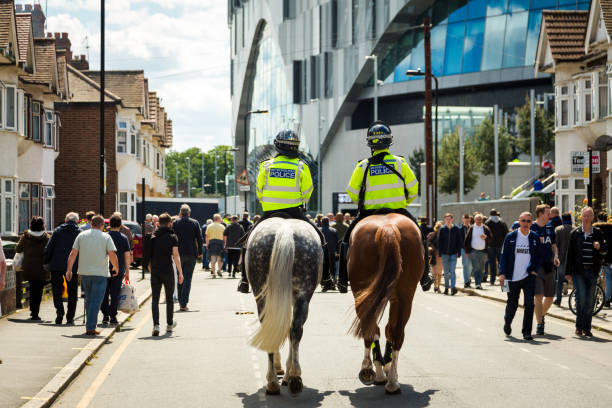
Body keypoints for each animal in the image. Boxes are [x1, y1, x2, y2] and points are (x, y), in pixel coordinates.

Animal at [244, 218, 322, 396]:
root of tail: (285, 231)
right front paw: (286, 373)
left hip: (265, 293)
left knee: (281, 328)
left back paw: (275, 381)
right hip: (302, 294)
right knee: (295, 329)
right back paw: (292, 377)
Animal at [346, 212, 424, 394]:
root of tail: (388, 228)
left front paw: (382, 369)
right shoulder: (396, 299)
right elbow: (390, 329)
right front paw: (386, 367)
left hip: (363, 293)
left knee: (372, 328)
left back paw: (370, 370)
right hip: (405, 296)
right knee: (396, 332)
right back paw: (392, 381)